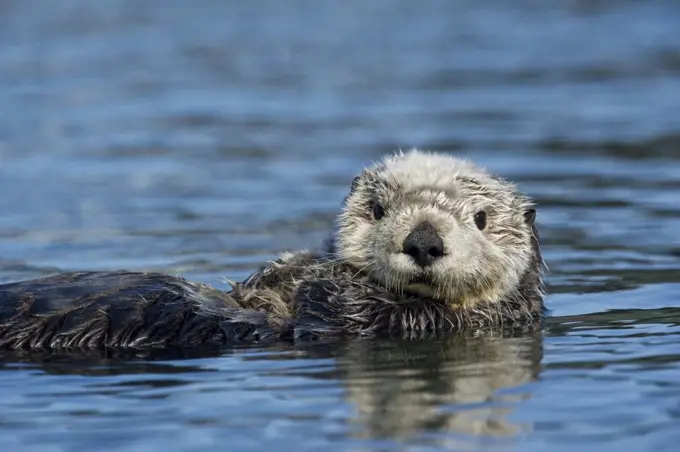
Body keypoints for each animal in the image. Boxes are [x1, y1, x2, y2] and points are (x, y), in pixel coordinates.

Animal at [0, 150, 544, 352]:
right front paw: (288, 266)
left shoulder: (401, 321)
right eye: (378, 209)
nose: (424, 241)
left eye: (481, 219)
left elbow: (327, 306)